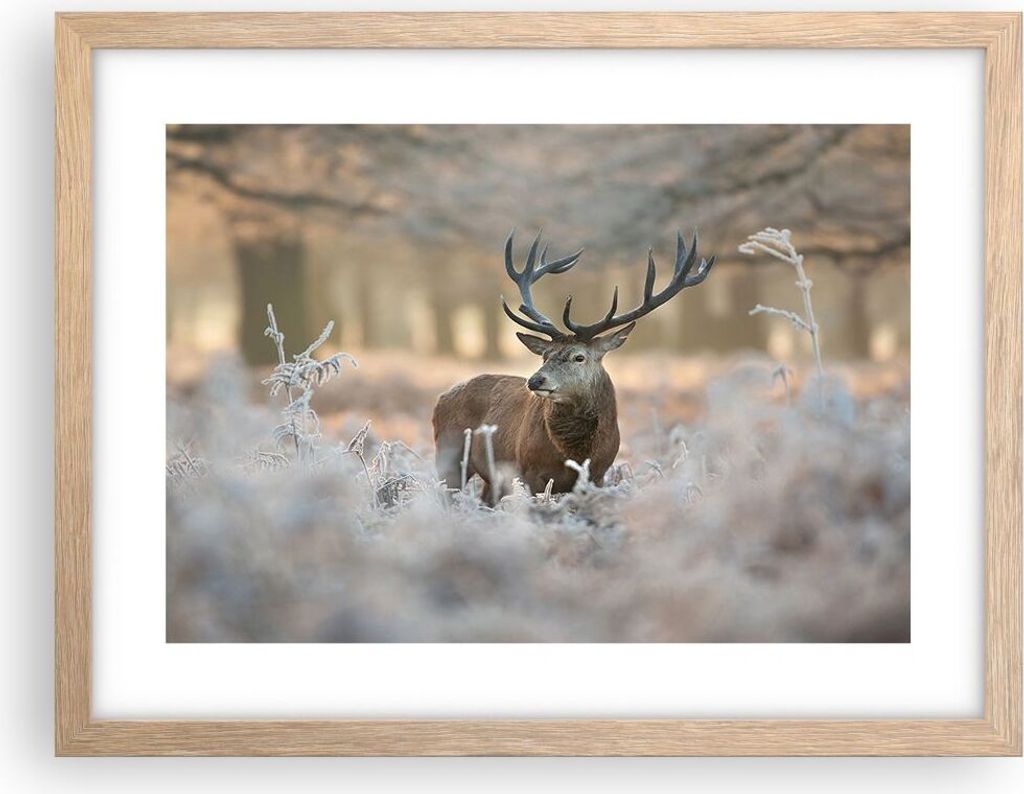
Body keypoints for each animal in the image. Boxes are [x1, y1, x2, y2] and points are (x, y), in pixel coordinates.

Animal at [432, 230, 716, 504]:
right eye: (544, 356)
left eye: (579, 357)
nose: (535, 381)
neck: (576, 454)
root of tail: (441, 397)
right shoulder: (528, 472)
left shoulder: (598, 475)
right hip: (449, 454)